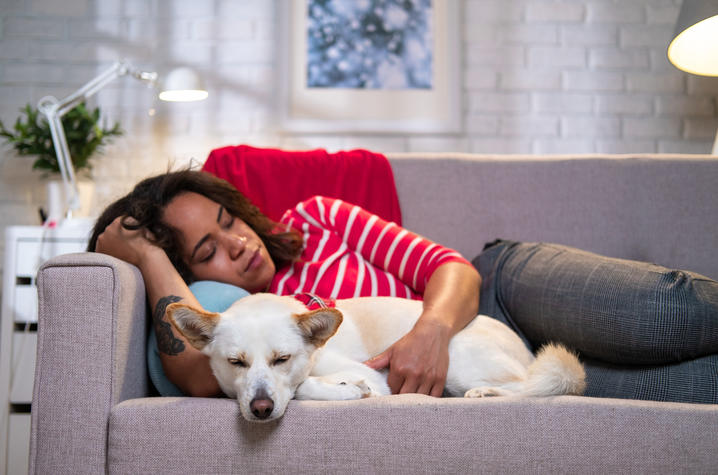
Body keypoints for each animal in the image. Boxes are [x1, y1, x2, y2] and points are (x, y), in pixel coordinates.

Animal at [169, 294, 584, 424]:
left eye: (281, 358)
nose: (260, 409)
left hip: (459, 362)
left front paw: (347, 389)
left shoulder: (377, 379)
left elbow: (301, 387)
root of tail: (525, 350)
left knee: (531, 387)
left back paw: (486, 393)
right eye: (235, 362)